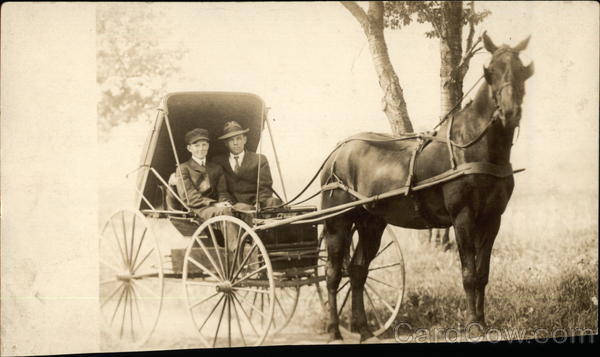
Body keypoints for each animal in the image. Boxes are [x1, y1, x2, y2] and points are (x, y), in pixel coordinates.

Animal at [322, 34, 532, 342]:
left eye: (522, 72)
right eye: (490, 72)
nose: (509, 113)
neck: (475, 147)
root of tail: (337, 152)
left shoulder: (493, 218)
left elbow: (483, 274)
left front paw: (483, 320)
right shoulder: (463, 217)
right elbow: (469, 274)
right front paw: (473, 324)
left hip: (371, 222)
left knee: (358, 271)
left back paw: (364, 329)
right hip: (338, 221)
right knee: (333, 273)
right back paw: (335, 330)